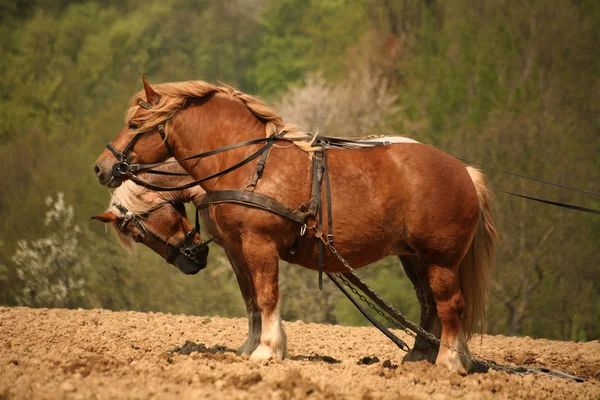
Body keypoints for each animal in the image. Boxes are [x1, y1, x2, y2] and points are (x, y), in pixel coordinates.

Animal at [94, 79, 496, 376]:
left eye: (134, 125)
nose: (102, 167)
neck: (246, 161)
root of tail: (464, 171)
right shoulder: (237, 248)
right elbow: (251, 299)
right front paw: (249, 348)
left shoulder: (259, 244)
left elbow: (267, 296)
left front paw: (268, 350)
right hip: (413, 257)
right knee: (429, 303)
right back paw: (420, 357)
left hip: (440, 258)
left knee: (450, 305)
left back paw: (449, 362)